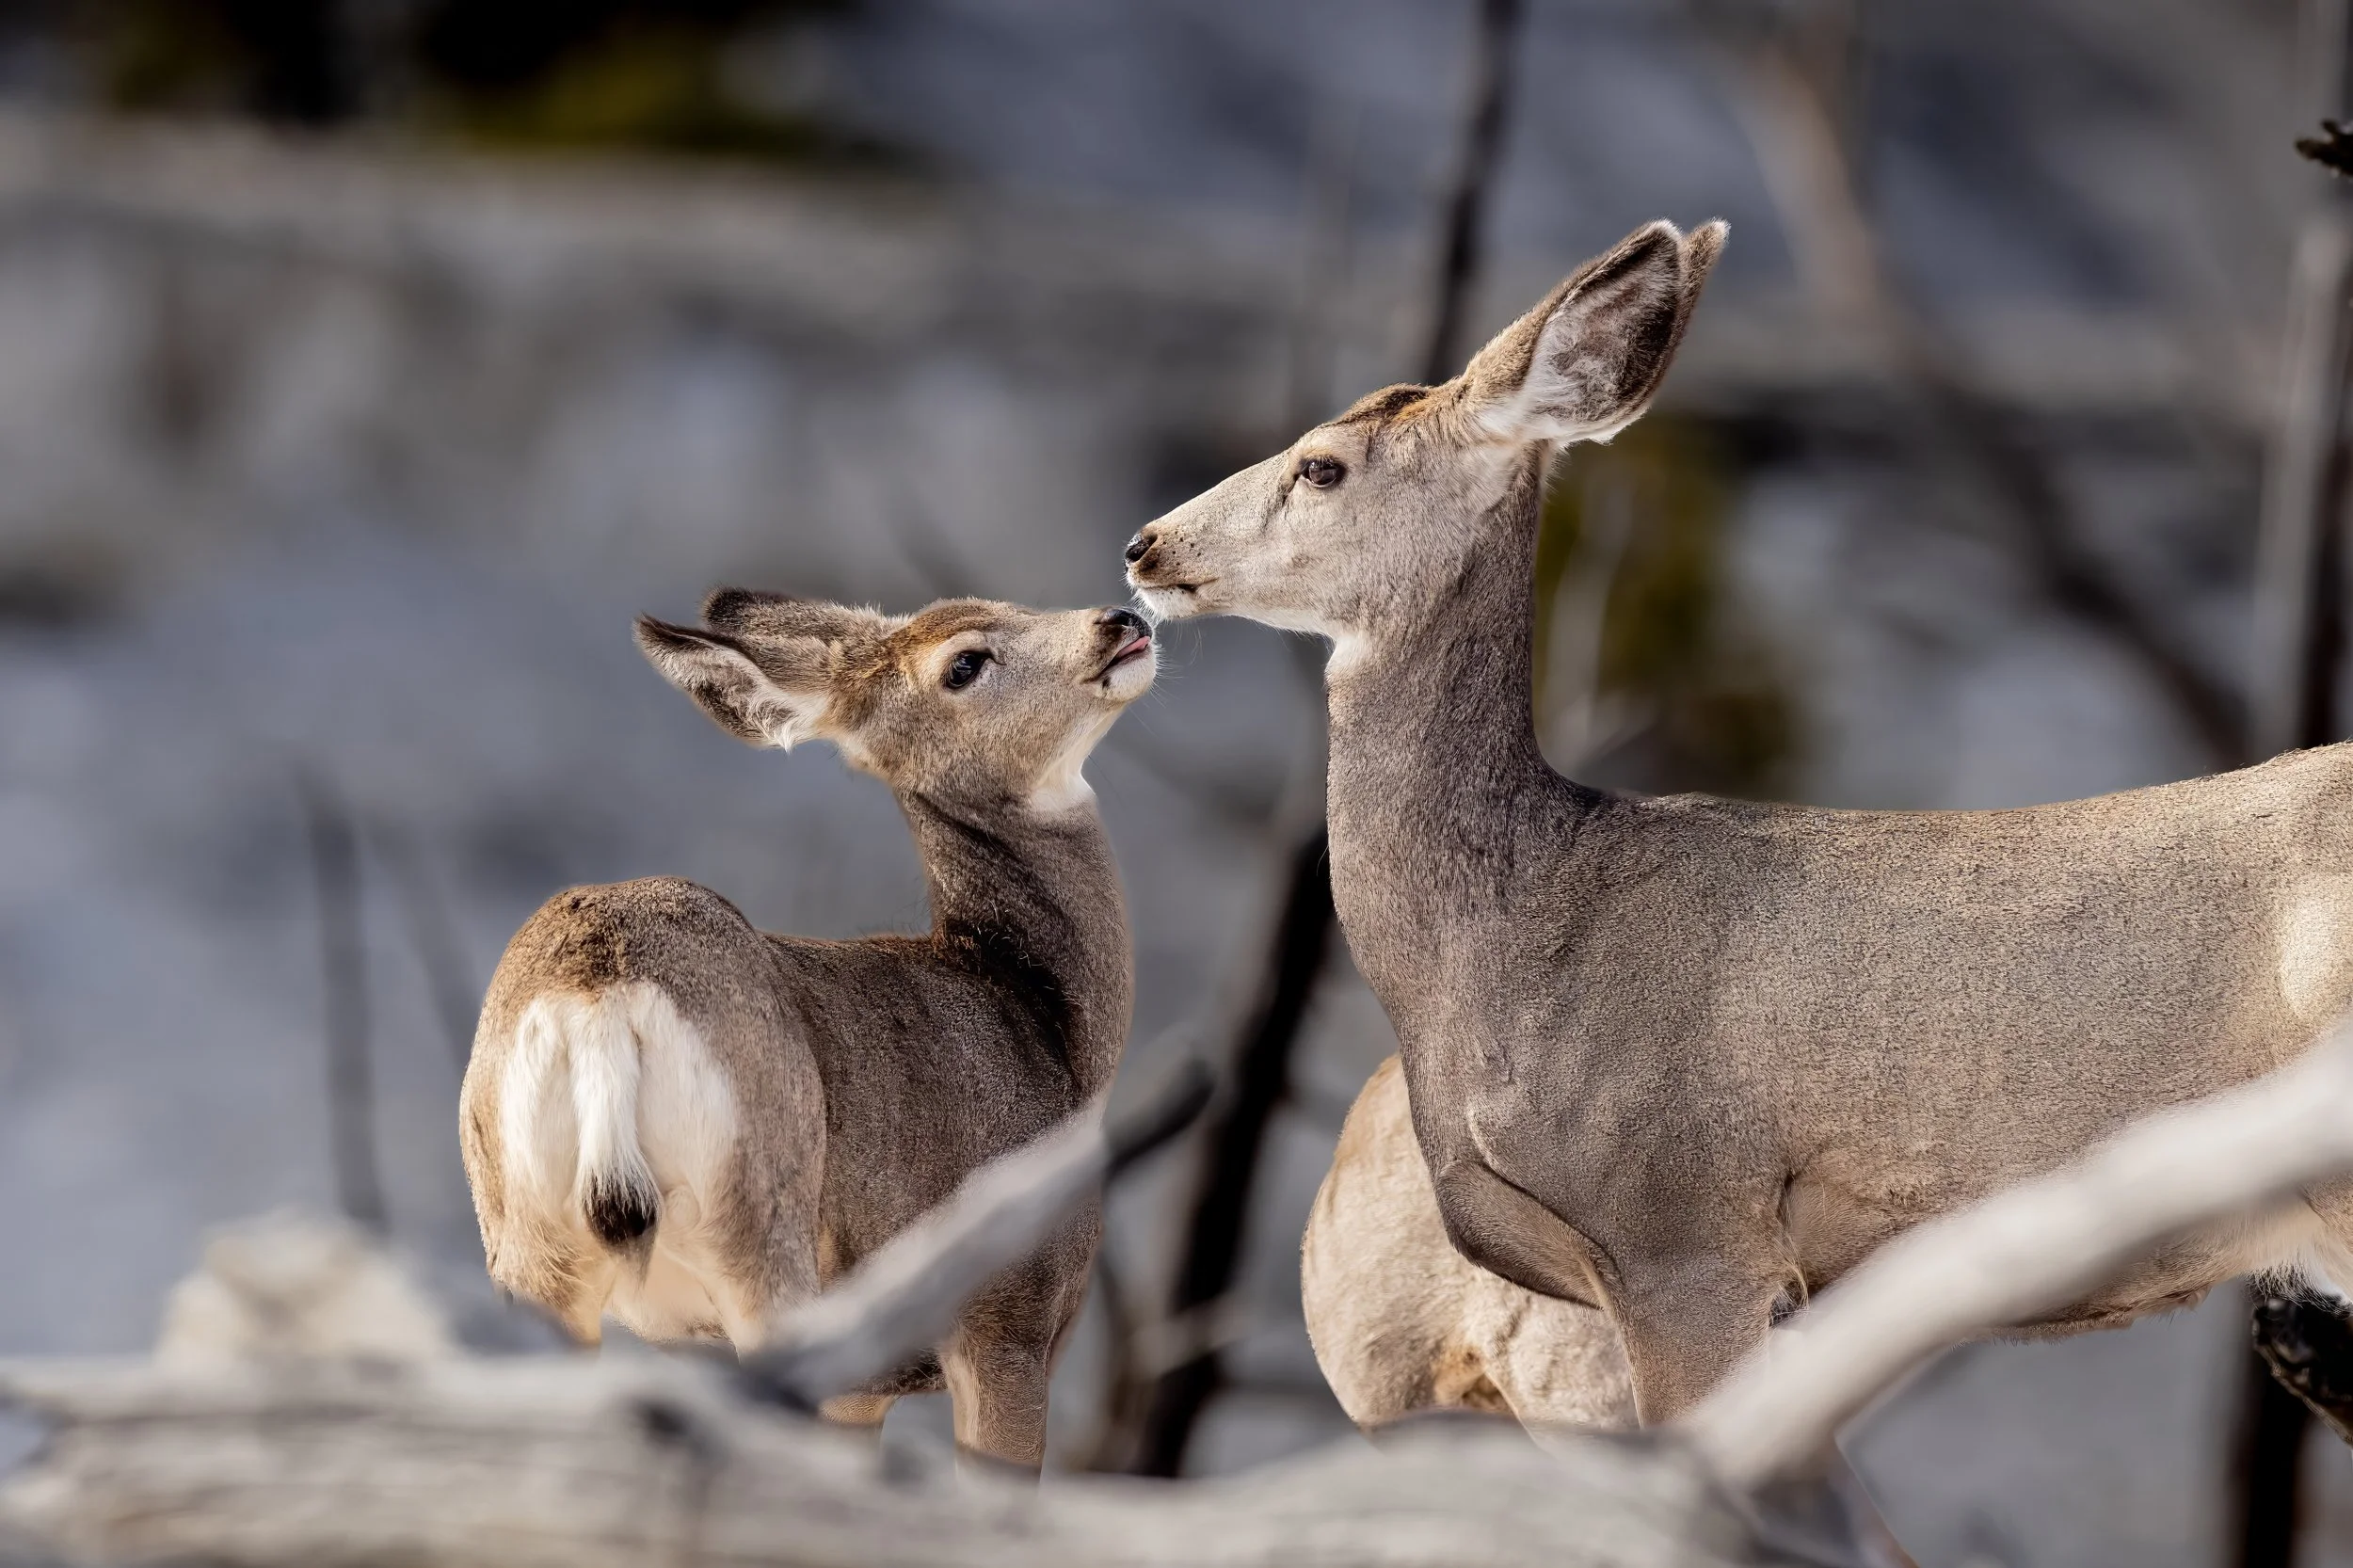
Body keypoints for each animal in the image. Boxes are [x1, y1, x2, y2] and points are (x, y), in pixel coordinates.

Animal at [459, 589, 1157, 1470]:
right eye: (964, 662)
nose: (1119, 621)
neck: (1042, 1020)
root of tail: (597, 992)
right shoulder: (1010, 1319)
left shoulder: (863, 1382)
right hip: (763, 1226)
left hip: (530, 1247)